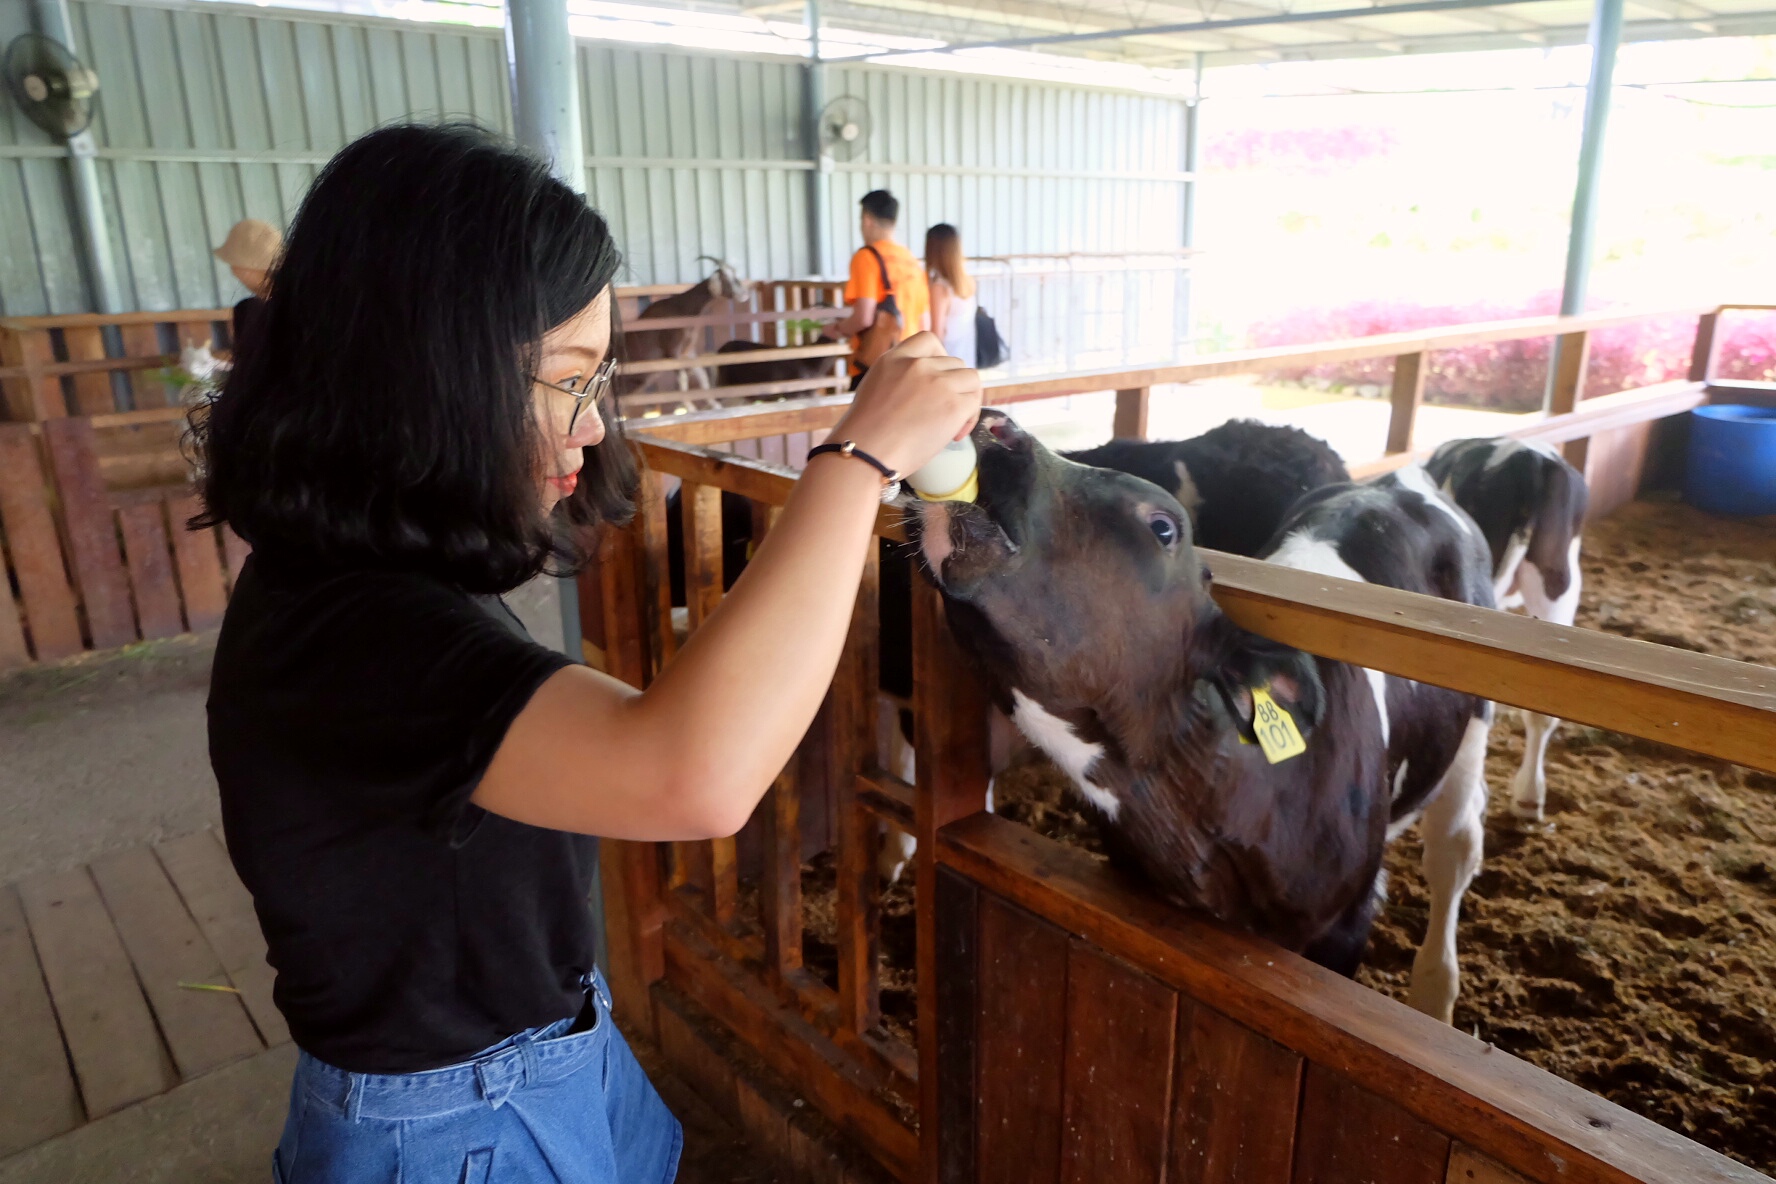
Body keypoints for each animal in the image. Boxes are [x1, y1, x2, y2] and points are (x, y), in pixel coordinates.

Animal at [916, 411, 1498, 1022]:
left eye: (1164, 527)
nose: (996, 422)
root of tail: (1401, 480)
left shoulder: (1345, 922)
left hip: (1473, 731)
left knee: (1455, 845)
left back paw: (1436, 990)